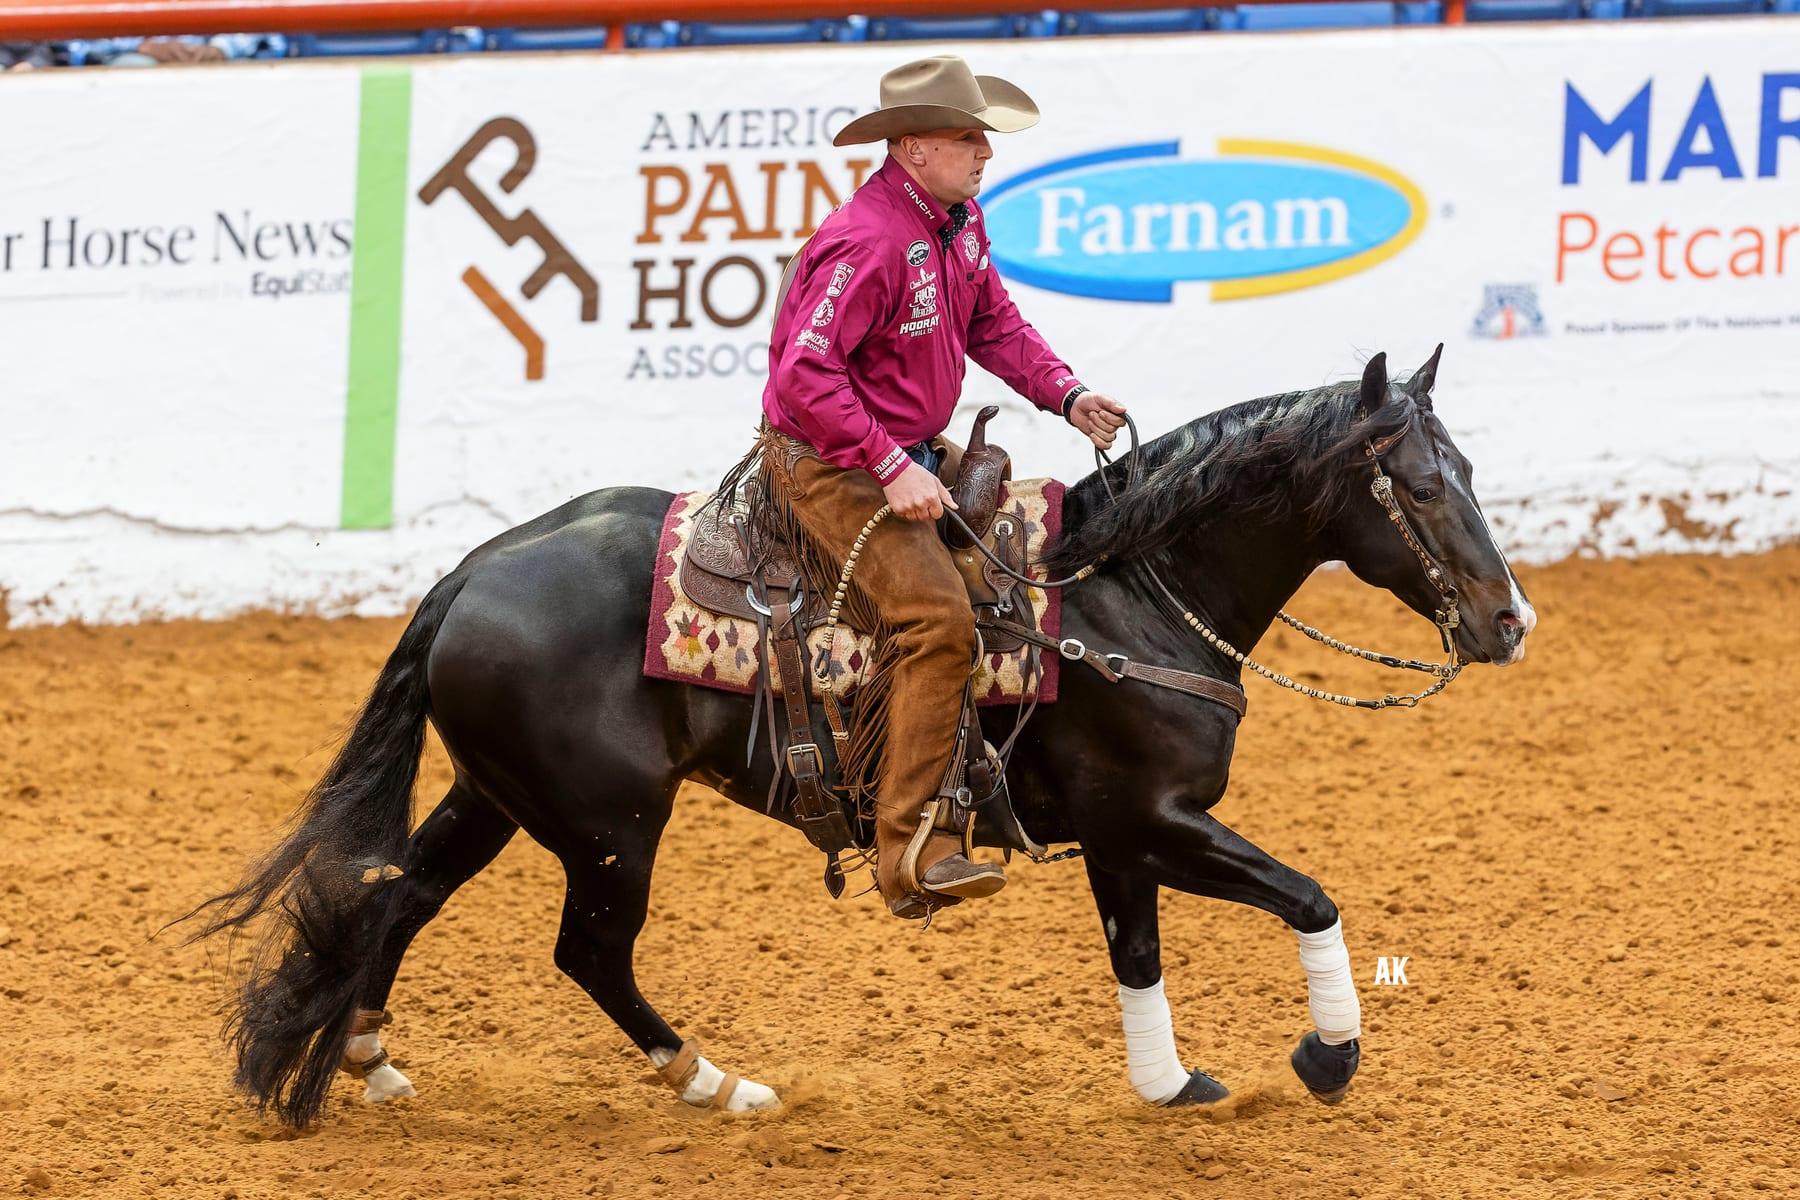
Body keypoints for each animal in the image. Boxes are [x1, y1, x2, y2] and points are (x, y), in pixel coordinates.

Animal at [186, 347, 1536, 1128]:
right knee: (590, 952)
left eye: (1473, 465)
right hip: (610, 824)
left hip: (499, 797)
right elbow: (1308, 895)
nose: (1510, 620)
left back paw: (368, 1057)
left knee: (398, 894)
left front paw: (1171, 1085)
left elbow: (1138, 956)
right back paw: (716, 1082)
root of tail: (469, 568)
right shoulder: (1154, 820)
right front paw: (1327, 1059)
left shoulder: (1121, 837)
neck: (1124, 591)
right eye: (1418, 486)